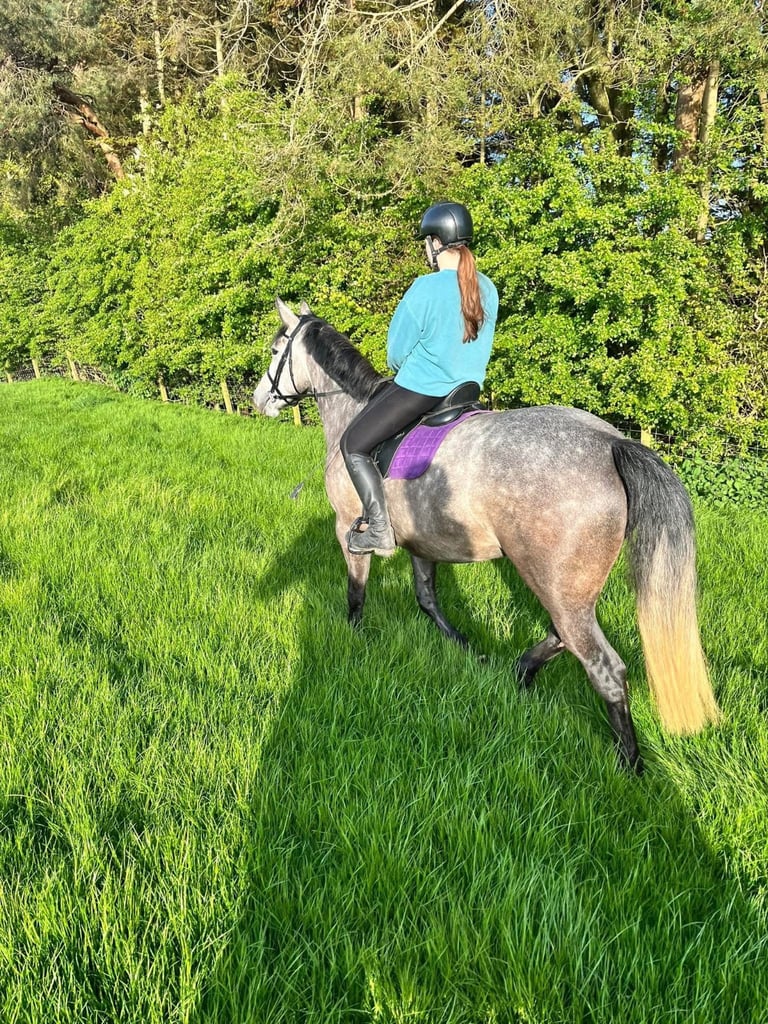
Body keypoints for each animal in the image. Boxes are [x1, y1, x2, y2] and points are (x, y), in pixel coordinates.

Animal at [253, 298, 720, 773]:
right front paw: (465, 649)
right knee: (562, 633)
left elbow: (356, 590)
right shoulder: (423, 543)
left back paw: (629, 765)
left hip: (555, 583)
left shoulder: (347, 524)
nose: (259, 401)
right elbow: (427, 600)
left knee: (602, 666)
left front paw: (354, 636)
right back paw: (519, 672)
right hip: (569, 587)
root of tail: (612, 443)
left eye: (275, 351)